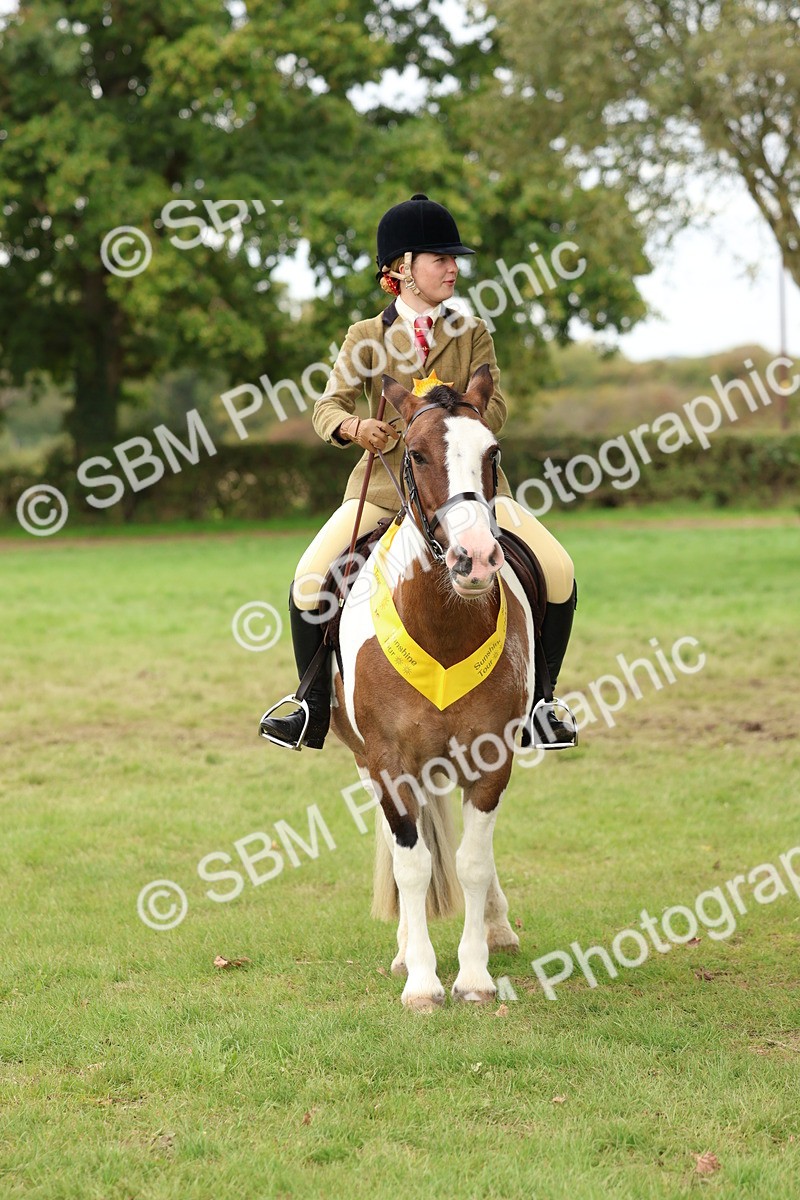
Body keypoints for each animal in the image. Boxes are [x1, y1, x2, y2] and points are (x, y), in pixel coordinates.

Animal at [330, 363, 539, 1011]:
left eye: (492, 452)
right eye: (416, 453)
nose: (476, 560)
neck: (443, 622)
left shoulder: (491, 756)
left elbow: (473, 862)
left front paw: (473, 976)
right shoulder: (388, 761)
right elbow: (413, 866)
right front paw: (422, 981)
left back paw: (497, 928)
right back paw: (404, 948)